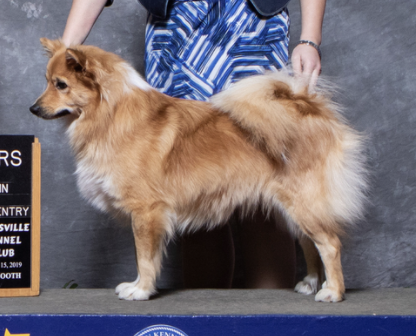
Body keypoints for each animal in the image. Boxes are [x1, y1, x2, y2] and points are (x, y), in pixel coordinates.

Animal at [30, 38, 368, 302]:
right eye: (46, 81)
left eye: (61, 85)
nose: (33, 109)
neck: (109, 113)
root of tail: (307, 106)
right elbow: (145, 256)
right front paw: (138, 286)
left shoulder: (147, 212)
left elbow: (145, 257)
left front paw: (141, 290)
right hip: (290, 209)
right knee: (309, 243)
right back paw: (310, 283)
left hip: (303, 202)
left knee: (330, 244)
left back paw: (332, 291)